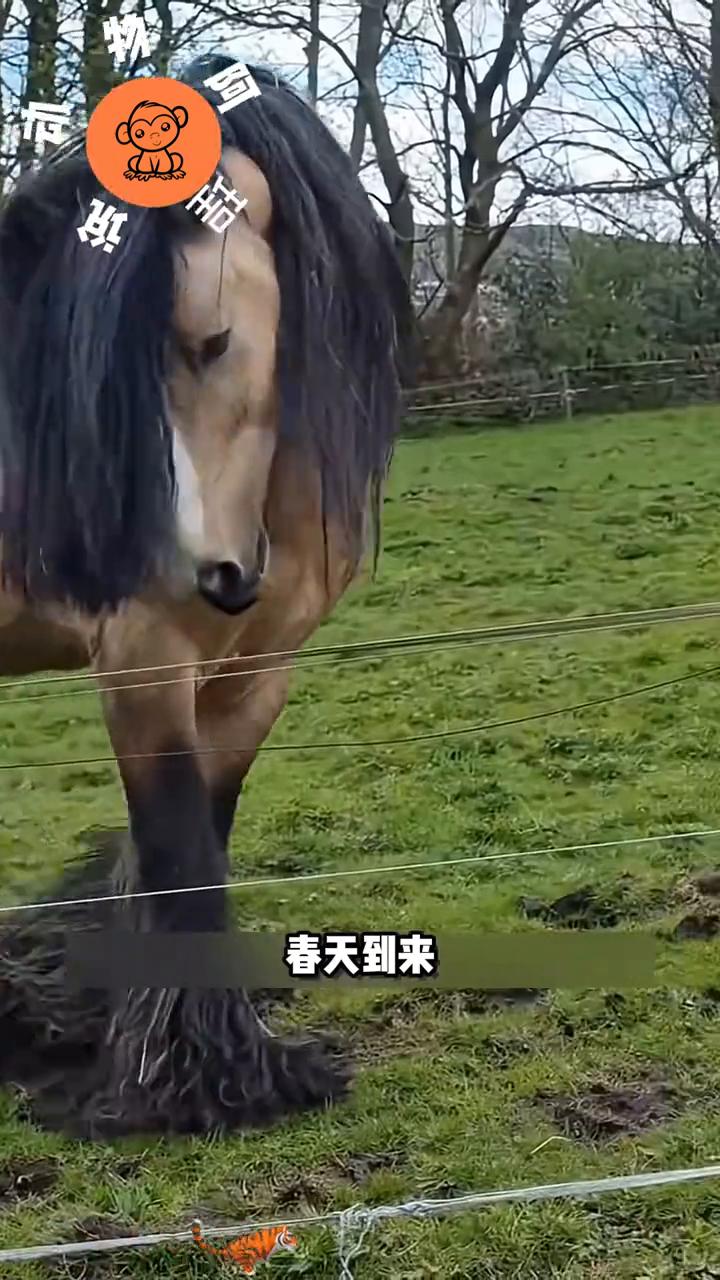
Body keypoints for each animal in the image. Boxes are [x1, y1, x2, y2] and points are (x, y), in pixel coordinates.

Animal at [0, 53, 413, 1137]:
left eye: (213, 340)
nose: (215, 573)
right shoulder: (143, 662)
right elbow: (179, 851)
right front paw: (200, 1083)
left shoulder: (258, 672)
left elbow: (201, 841)